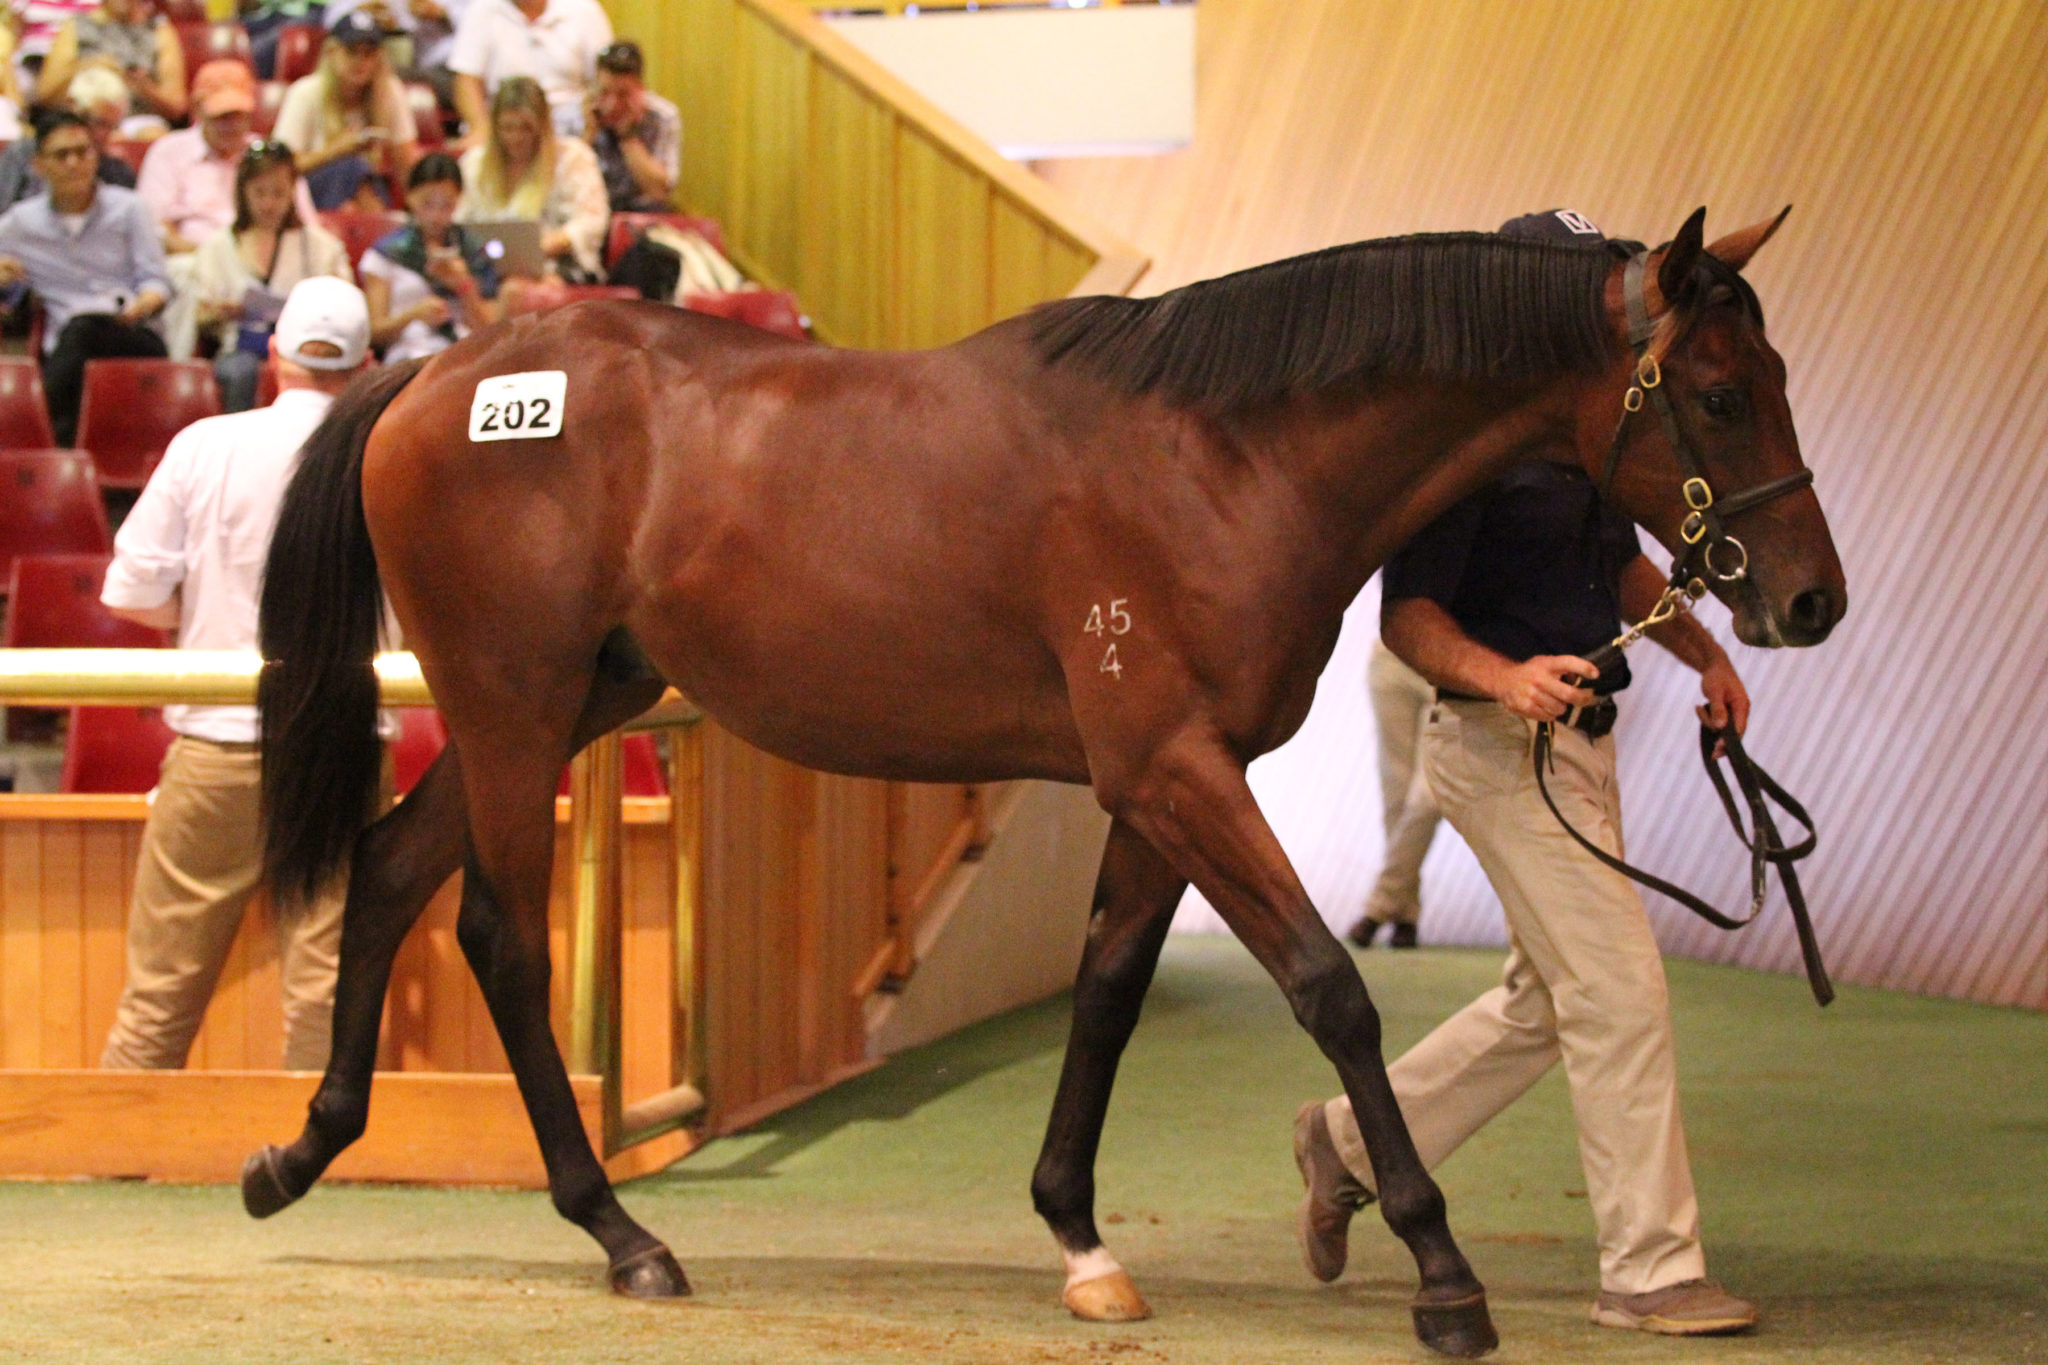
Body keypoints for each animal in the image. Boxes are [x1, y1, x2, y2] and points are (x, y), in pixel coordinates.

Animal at [235, 208, 1843, 1358]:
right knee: (499, 935)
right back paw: (621, 1234)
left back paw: (302, 1152)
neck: (1221, 455)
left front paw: (1080, 1238)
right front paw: (1441, 1271)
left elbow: (1109, 992)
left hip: (569, 703)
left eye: (1775, 379)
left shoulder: (1162, 783)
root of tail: (436, 374)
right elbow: (1329, 988)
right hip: (514, 710)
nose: (1809, 600)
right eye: (1715, 393)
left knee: (389, 868)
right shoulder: (1178, 768)